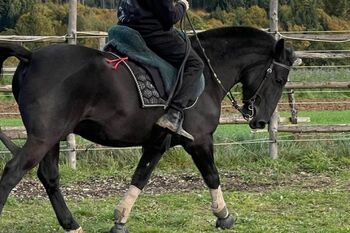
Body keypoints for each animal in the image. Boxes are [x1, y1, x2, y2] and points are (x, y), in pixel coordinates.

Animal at [0, 26, 296, 232]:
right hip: (43, 137)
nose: (260, 121)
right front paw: (223, 215)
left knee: (49, 177)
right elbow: (212, 175)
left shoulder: (158, 142)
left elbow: (140, 177)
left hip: (52, 138)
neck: (207, 74)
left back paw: (72, 225)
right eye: (280, 79)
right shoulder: (199, 140)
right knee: (12, 172)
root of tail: (31, 56)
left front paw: (120, 219)